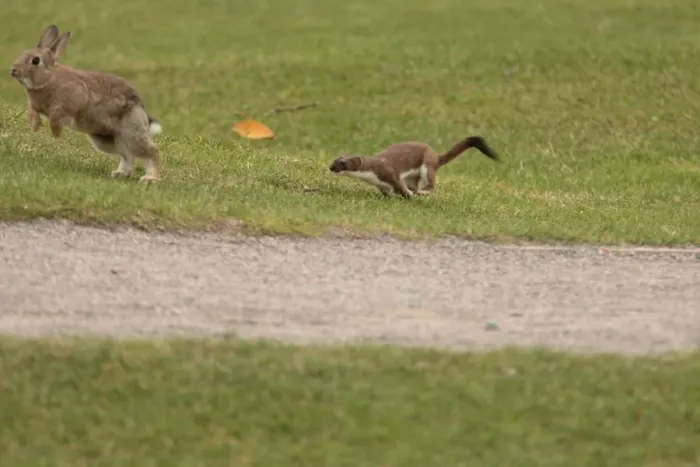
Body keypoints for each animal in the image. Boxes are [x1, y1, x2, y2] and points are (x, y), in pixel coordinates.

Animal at [9, 25, 164, 183]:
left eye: (35, 60)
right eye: (23, 53)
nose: (13, 70)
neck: (50, 78)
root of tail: (142, 112)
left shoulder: (70, 100)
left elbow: (56, 116)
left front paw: (56, 133)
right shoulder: (35, 105)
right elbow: (33, 111)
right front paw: (34, 127)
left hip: (130, 134)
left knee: (152, 151)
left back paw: (150, 178)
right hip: (107, 140)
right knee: (128, 155)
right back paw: (119, 174)